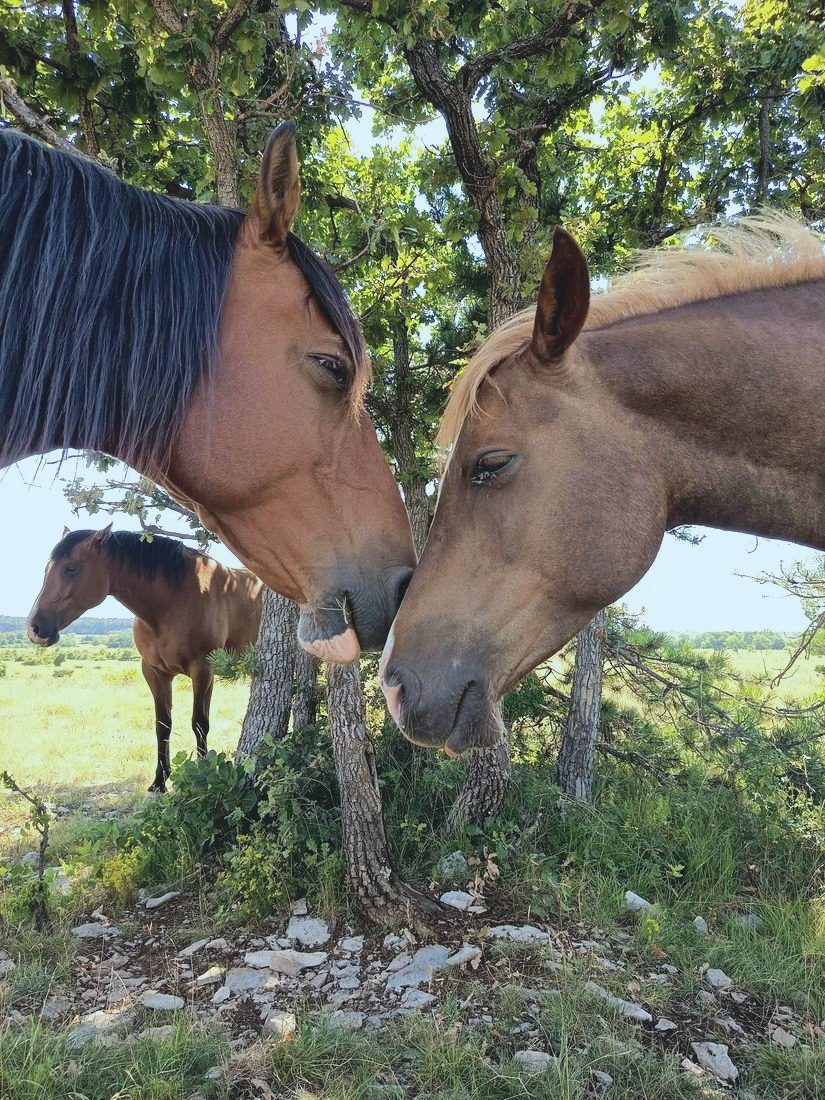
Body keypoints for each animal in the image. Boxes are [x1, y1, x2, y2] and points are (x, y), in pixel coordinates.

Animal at [27, 527, 263, 792]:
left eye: (70, 568)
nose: (34, 628)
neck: (172, 601)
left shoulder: (202, 670)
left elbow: (199, 723)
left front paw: (202, 775)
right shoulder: (154, 672)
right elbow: (163, 724)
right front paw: (159, 781)